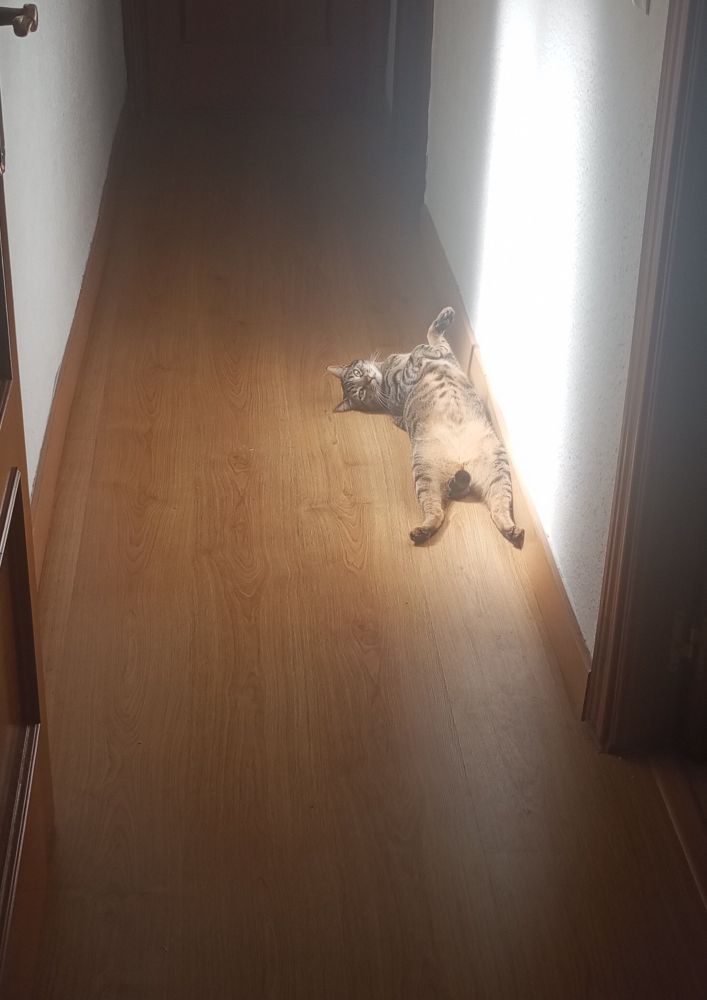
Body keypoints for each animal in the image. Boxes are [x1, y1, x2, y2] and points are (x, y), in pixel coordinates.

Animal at [327, 307, 524, 548]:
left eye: (357, 376)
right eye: (361, 392)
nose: (367, 380)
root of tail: (460, 463)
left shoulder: (446, 358)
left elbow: (432, 341)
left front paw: (443, 320)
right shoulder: (408, 379)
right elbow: (424, 346)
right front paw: (433, 337)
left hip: (498, 471)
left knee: (498, 507)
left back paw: (512, 530)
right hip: (425, 474)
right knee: (436, 511)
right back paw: (422, 531)